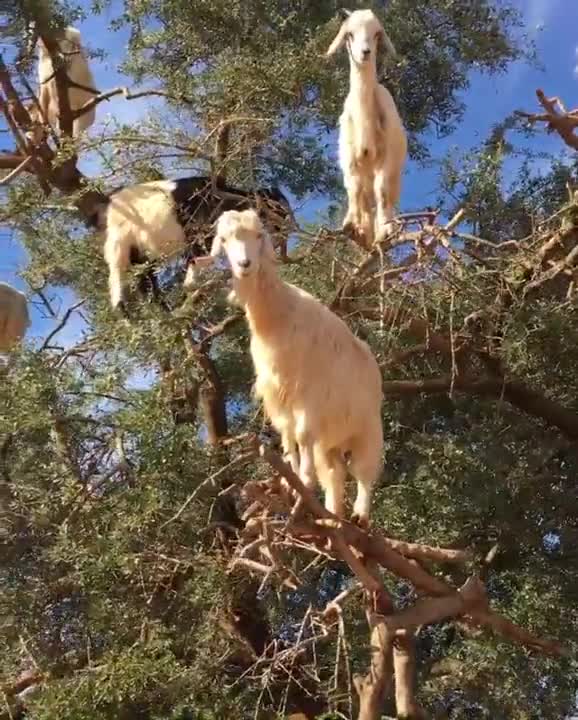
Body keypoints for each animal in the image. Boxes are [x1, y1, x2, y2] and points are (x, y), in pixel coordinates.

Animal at [91, 176, 294, 313]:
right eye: (278, 206)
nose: (288, 226)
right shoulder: (197, 229)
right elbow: (197, 256)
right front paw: (191, 283)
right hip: (120, 240)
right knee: (117, 271)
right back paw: (122, 308)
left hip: (139, 250)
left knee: (143, 276)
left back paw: (161, 307)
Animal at [211, 209, 383, 526]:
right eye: (225, 240)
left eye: (259, 235)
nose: (245, 265)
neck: (278, 315)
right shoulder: (279, 396)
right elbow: (287, 436)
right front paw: (291, 479)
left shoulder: (310, 394)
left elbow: (302, 435)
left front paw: (303, 480)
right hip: (330, 442)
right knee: (335, 473)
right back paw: (332, 516)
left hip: (367, 426)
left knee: (364, 471)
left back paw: (360, 515)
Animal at [326, 9, 407, 248]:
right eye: (349, 34)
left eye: (376, 34)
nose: (365, 53)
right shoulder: (349, 158)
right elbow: (354, 190)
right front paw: (352, 226)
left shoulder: (387, 156)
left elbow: (382, 190)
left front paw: (386, 230)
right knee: (363, 198)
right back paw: (363, 232)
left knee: (382, 198)